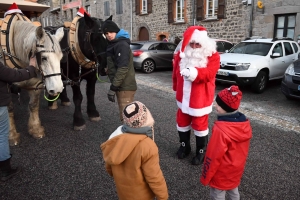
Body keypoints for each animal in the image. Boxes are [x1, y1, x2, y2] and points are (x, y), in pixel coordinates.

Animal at [0, 13, 64, 145]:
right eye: (44, 58)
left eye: (61, 58)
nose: (58, 89)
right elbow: (9, 108)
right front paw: (11, 134)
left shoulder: (34, 84)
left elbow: (33, 105)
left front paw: (35, 129)